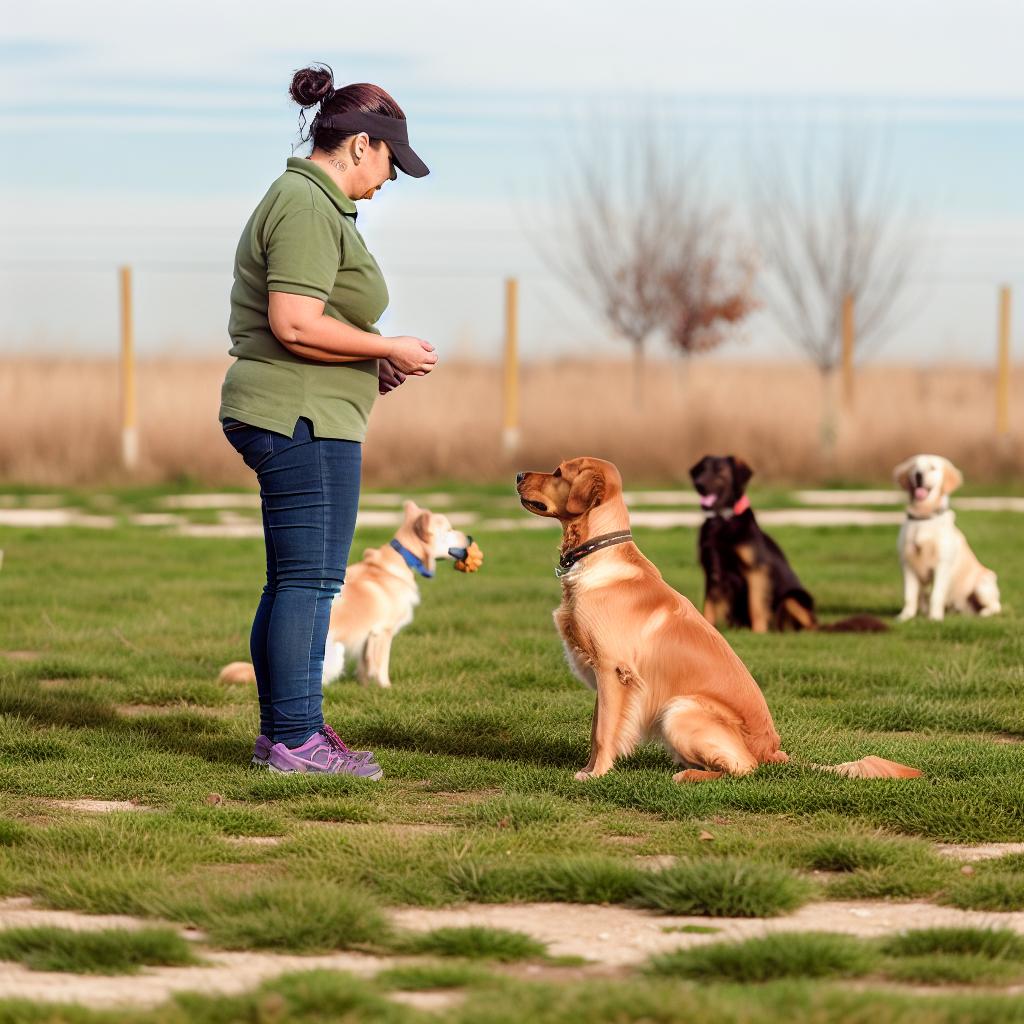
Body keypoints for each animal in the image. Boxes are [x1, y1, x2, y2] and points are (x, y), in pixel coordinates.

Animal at [222, 501, 477, 688]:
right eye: (450, 530)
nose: (471, 538)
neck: (401, 559)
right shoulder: (383, 632)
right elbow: (380, 665)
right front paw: (386, 687)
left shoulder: (368, 635)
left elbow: (365, 665)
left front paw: (365, 686)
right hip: (334, 653)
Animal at [692, 456, 884, 630]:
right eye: (701, 470)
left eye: (719, 470)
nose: (699, 484)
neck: (722, 522)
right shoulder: (712, 571)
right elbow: (708, 607)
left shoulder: (756, 570)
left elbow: (756, 605)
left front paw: (759, 632)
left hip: (794, 597)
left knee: (809, 626)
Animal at [897, 458, 999, 622]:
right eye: (914, 468)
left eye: (932, 467)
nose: (918, 475)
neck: (924, 517)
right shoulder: (908, 564)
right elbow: (909, 596)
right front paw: (905, 617)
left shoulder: (941, 564)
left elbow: (936, 595)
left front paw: (935, 618)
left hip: (982, 584)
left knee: (996, 606)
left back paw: (984, 613)